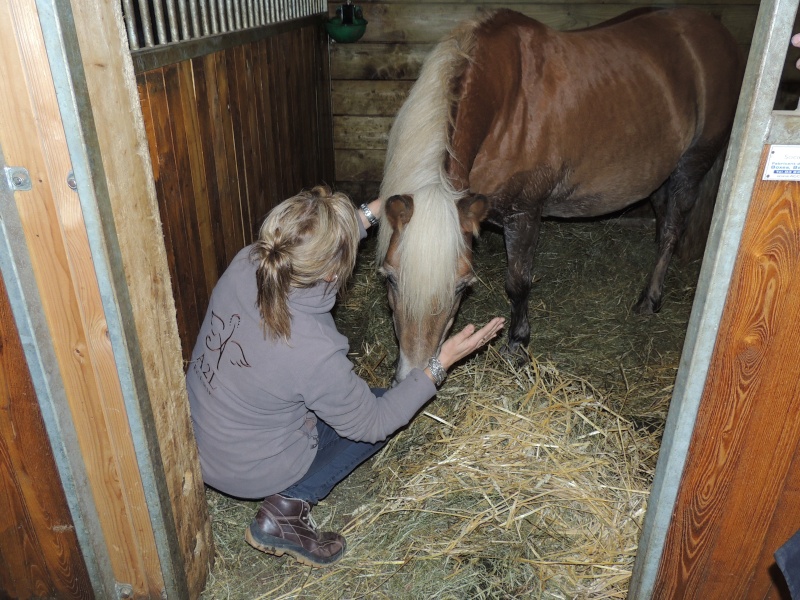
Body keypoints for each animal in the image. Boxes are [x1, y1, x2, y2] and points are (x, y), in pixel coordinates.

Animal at [378, 7, 748, 382]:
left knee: (673, 229)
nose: (413, 376)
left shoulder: (524, 213)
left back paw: (650, 299)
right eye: (389, 278)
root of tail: (715, 30)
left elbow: (518, 282)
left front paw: (517, 345)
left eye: (462, 285)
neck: (504, 102)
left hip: (692, 164)